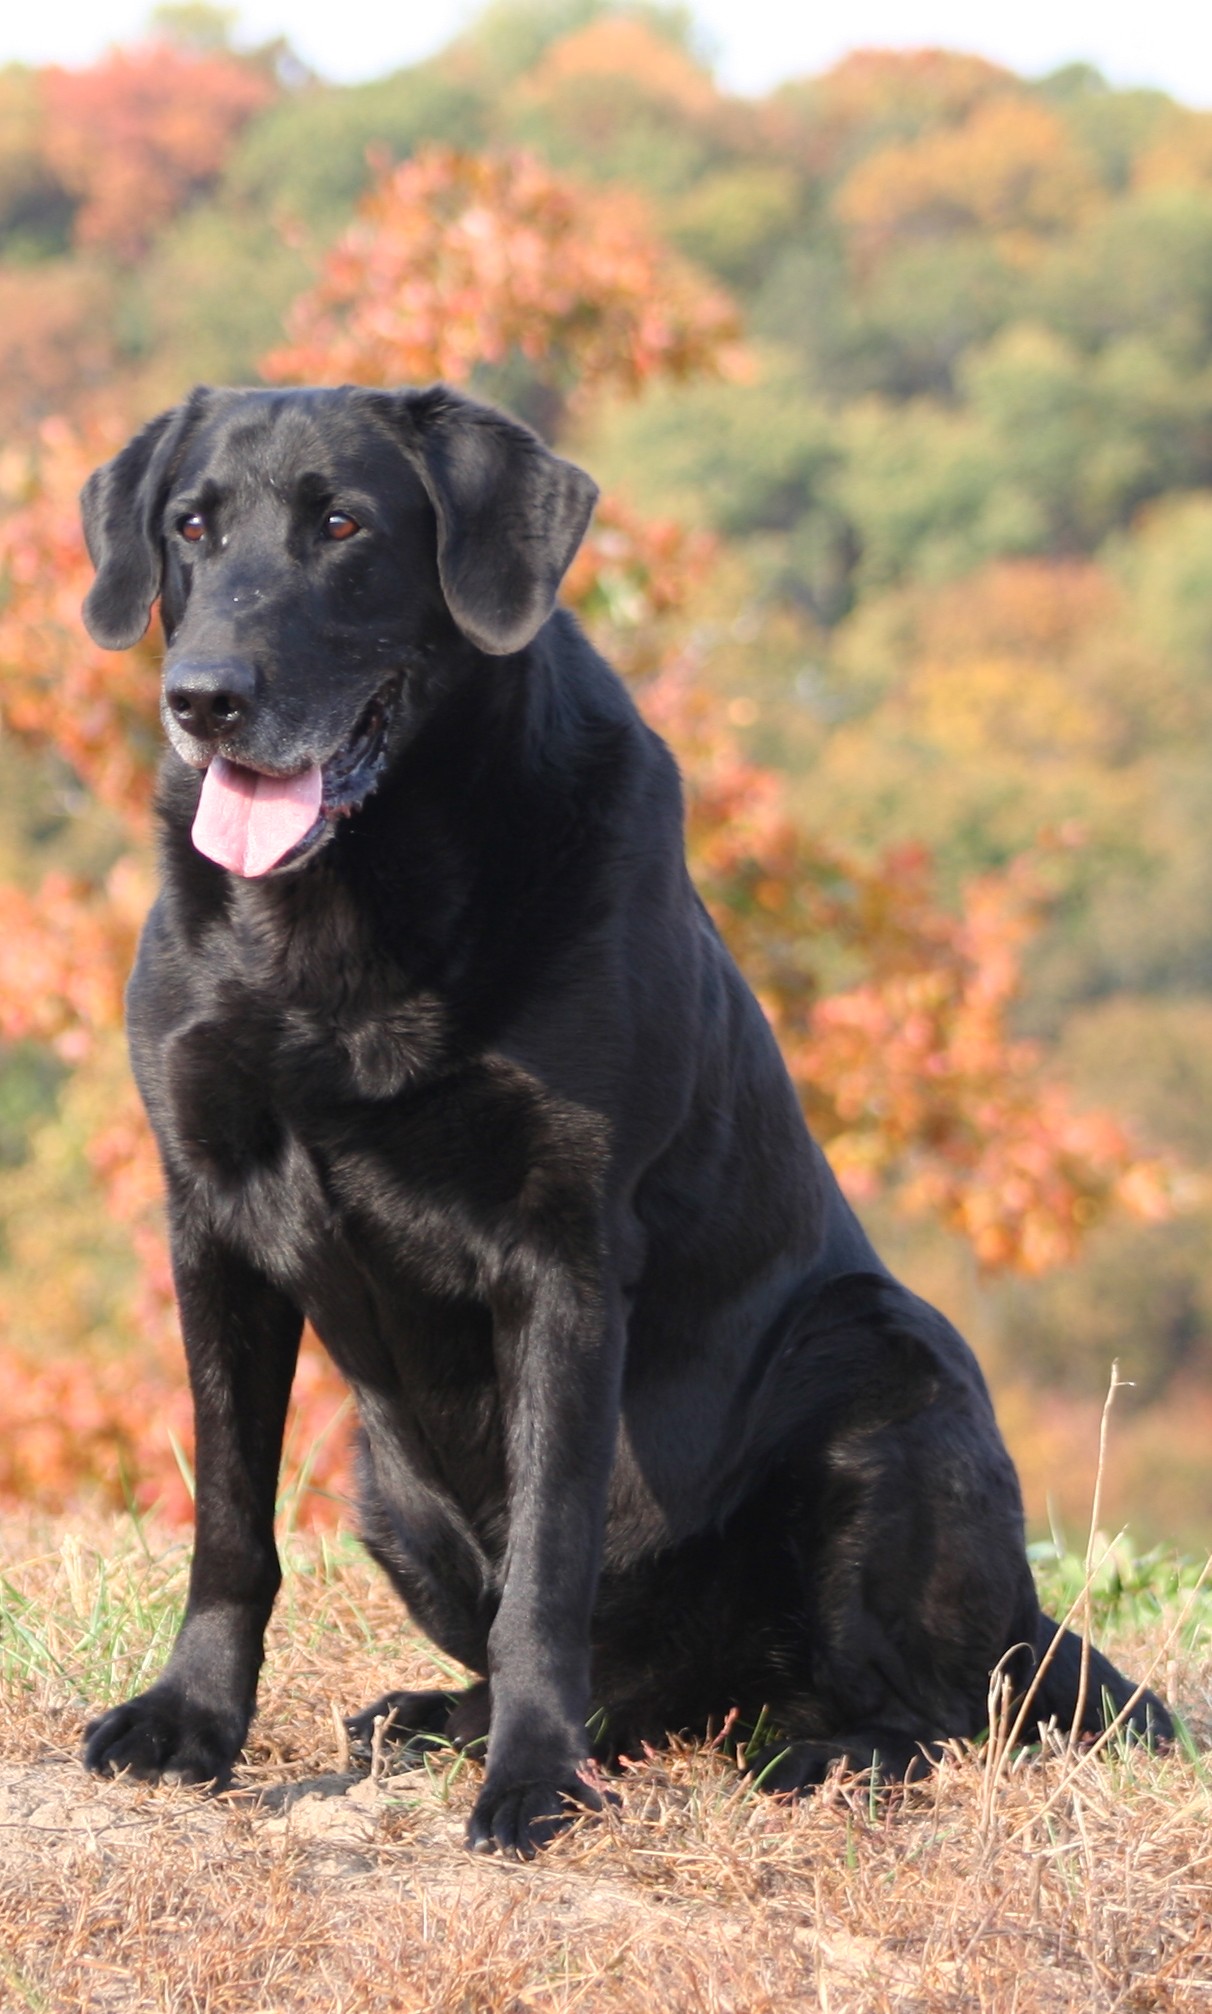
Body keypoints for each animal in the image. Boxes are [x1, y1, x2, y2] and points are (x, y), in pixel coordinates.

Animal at [78, 380, 1167, 1852]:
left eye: (343, 524)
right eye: (191, 525)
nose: (202, 694)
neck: (350, 912)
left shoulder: (564, 1252)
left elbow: (551, 1556)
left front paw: (535, 1778)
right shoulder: (209, 1223)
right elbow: (230, 1521)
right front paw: (190, 1721)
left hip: (888, 1375)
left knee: (939, 1708)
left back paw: (806, 1751)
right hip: (389, 1479)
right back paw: (442, 1717)